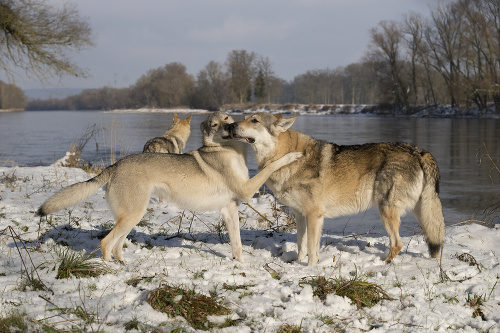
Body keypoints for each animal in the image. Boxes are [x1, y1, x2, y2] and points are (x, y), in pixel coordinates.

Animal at [227, 113, 446, 266]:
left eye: (254, 120)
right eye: (245, 118)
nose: (230, 125)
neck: (288, 157)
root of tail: (421, 151)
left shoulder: (315, 214)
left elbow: (312, 249)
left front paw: (310, 269)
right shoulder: (300, 215)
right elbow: (301, 246)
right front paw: (298, 264)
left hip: (387, 211)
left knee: (398, 243)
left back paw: (383, 264)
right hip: (421, 212)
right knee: (433, 242)